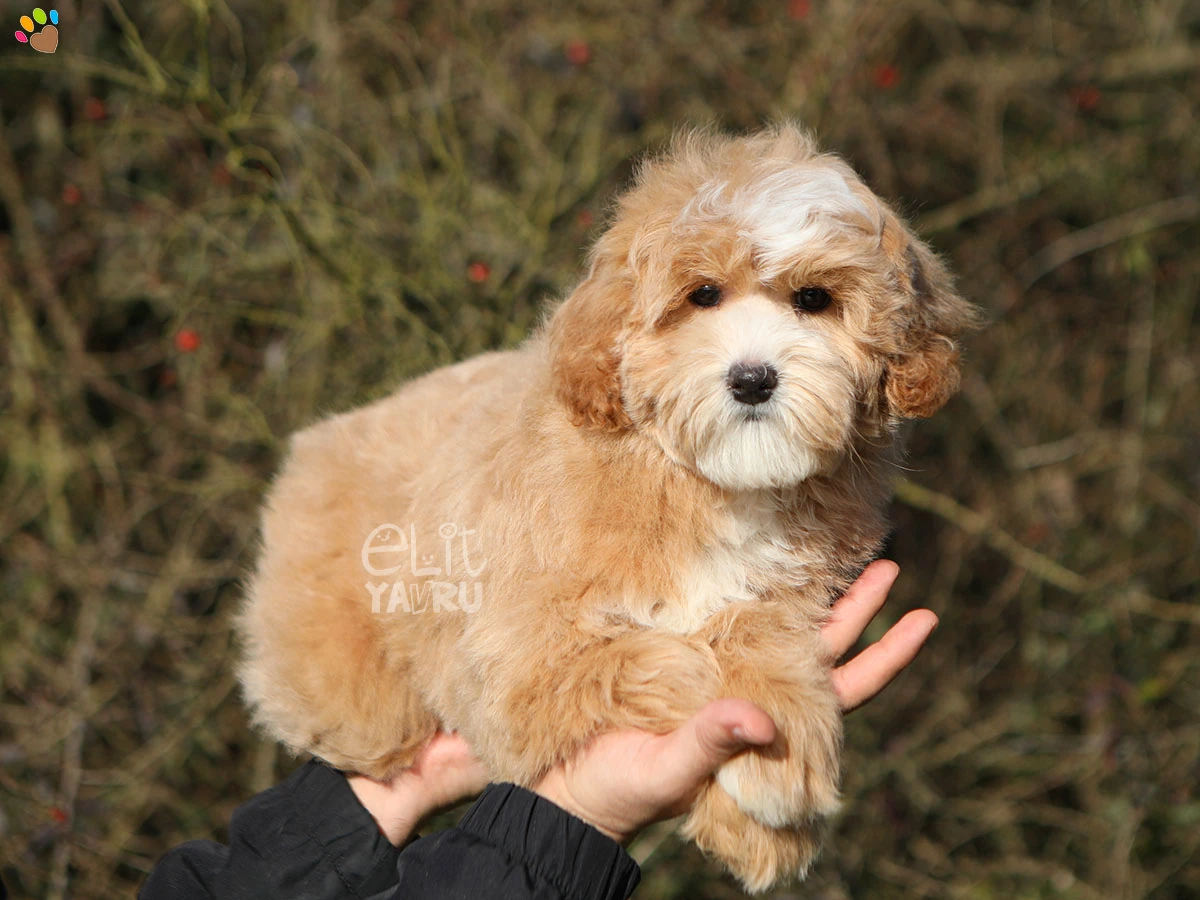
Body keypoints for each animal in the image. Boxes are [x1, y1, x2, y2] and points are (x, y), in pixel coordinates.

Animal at [238, 123, 979, 892]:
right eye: (702, 295)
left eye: (813, 299)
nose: (752, 379)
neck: (699, 480)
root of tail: (320, 437)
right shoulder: (520, 663)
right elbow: (664, 660)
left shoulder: (787, 592)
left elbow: (752, 629)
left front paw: (771, 785)